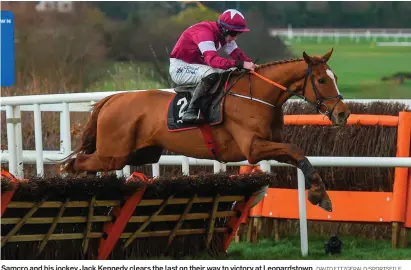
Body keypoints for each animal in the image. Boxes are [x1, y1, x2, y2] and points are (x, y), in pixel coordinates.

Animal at [61, 49, 350, 212]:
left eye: (335, 77)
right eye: (321, 80)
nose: (343, 113)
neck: (257, 96)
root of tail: (112, 98)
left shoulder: (270, 144)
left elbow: (299, 156)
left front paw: (321, 195)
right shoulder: (253, 148)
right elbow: (295, 149)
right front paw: (318, 195)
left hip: (139, 153)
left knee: (84, 164)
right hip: (114, 154)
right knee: (75, 163)